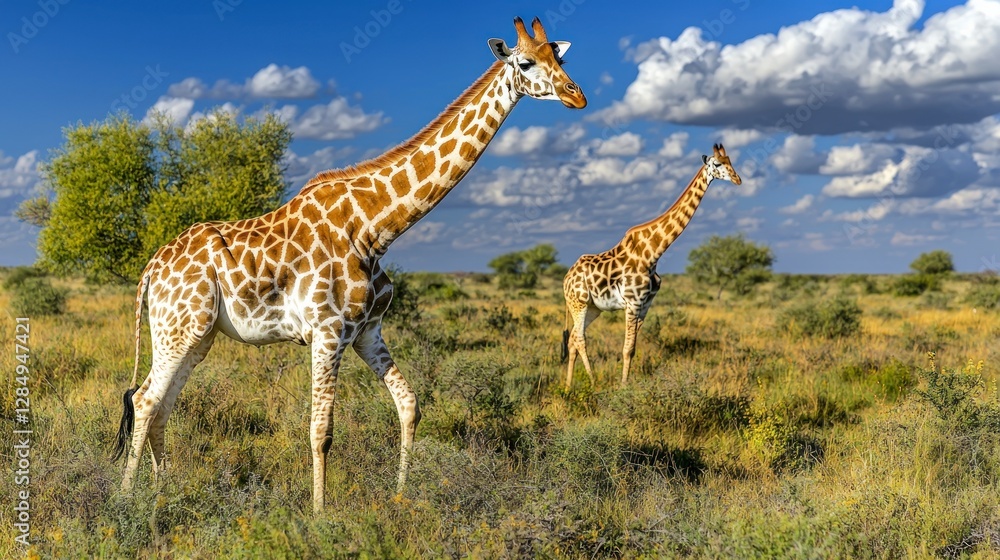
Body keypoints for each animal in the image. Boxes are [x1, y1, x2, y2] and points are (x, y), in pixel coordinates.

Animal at [113, 16, 586, 513]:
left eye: (560, 56)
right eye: (525, 62)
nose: (577, 96)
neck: (375, 227)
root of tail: (151, 269)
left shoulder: (367, 330)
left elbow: (409, 405)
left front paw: (400, 495)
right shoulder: (327, 330)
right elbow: (321, 432)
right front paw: (320, 515)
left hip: (196, 334)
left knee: (162, 403)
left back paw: (162, 491)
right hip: (179, 327)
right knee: (145, 400)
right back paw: (127, 500)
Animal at [561, 144, 741, 389]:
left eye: (731, 161)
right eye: (717, 164)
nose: (738, 179)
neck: (653, 254)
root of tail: (566, 278)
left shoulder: (645, 305)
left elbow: (633, 349)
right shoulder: (633, 303)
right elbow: (627, 349)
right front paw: (623, 388)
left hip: (592, 307)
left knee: (571, 339)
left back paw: (568, 387)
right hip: (578, 302)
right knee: (579, 338)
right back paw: (593, 382)